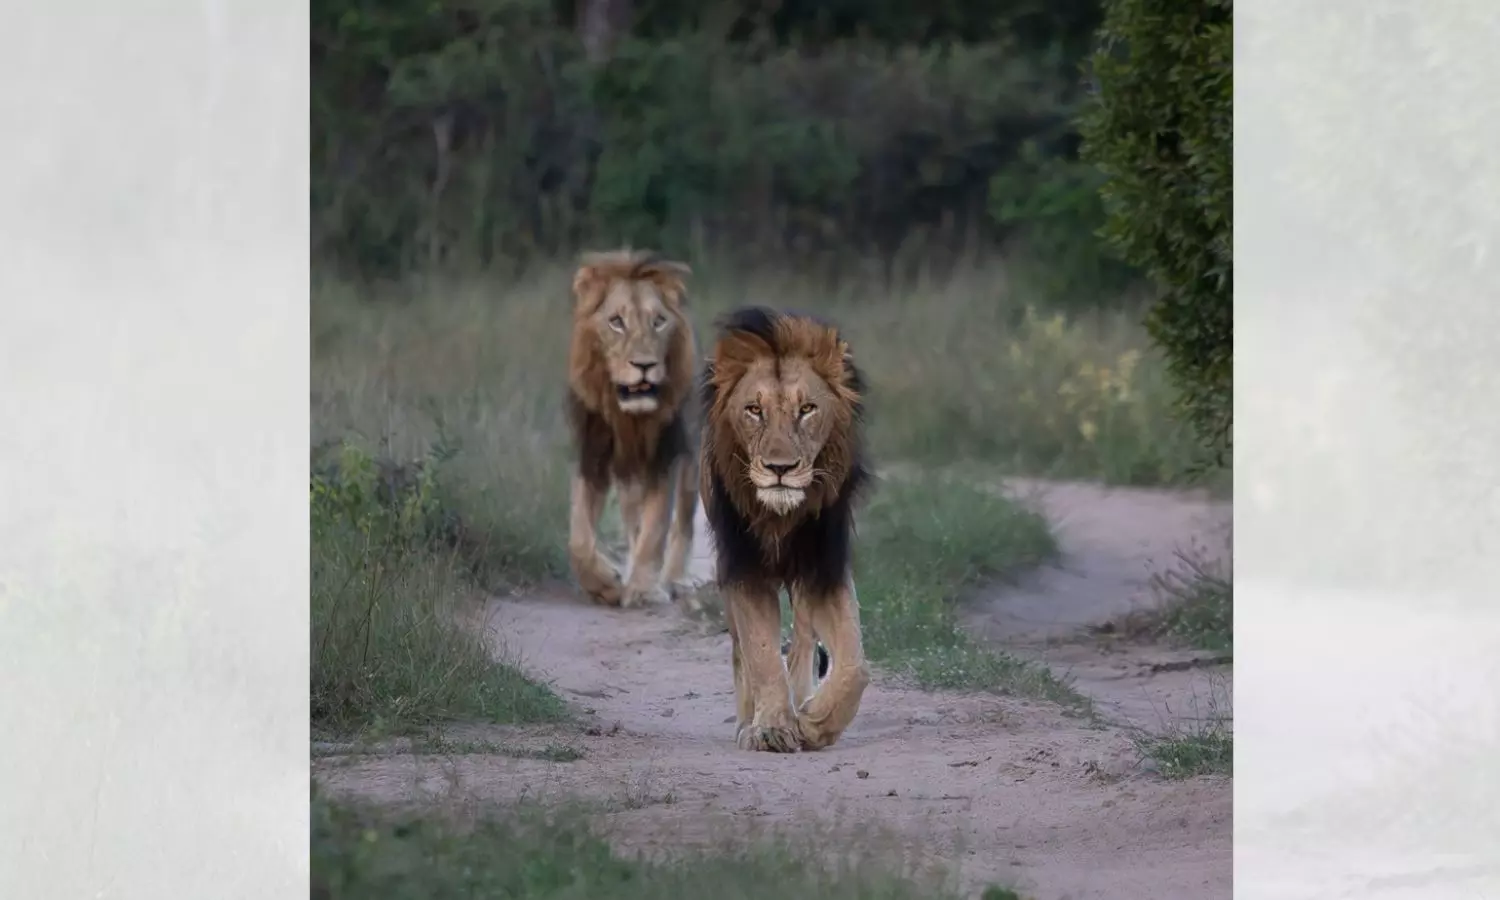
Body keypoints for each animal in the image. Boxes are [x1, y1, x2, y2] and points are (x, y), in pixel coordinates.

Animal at [564, 247, 699, 612]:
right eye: (616, 322)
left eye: (659, 322)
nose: (644, 365)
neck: (630, 419)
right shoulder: (593, 458)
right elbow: (578, 537)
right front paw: (606, 584)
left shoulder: (664, 459)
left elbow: (657, 527)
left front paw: (641, 589)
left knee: (683, 522)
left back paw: (674, 580)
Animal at [696, 306, 876, 750]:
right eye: (754, 410)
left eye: (807, 409)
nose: (781, 468)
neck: (781, 517)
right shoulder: (743, 566)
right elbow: (760, 650)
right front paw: (772, 726)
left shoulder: (822, 567)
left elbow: (854, 664)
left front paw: (814, 721)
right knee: (740, 649)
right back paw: (749, 719)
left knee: (804, 640)